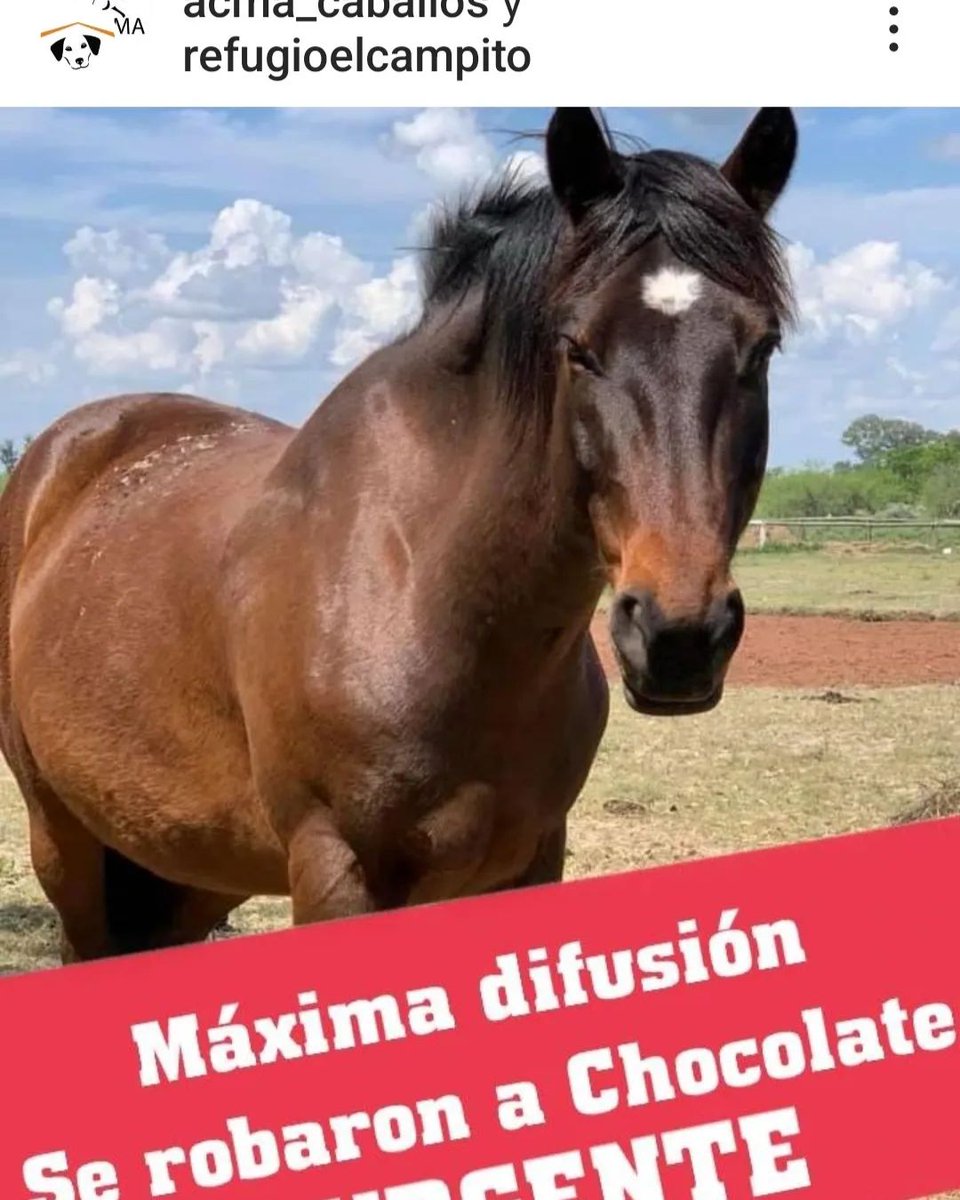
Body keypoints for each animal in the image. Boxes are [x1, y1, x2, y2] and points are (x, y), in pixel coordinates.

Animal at [0, 107, 797, 965]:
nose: (680, 635)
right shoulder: (337, 869)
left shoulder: (528, 862)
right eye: (578, 348)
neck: (422, 584)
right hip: (66, 842)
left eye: (762, 348)